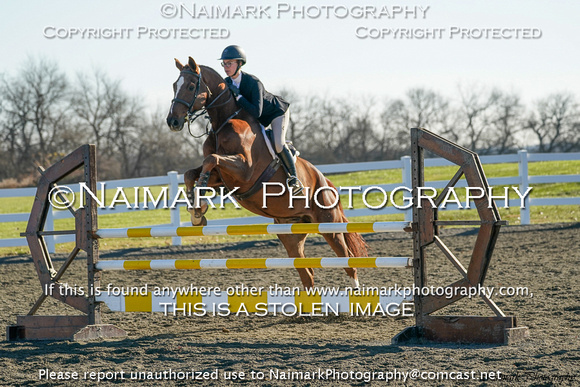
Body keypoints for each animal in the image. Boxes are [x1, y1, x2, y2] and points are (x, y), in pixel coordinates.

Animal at [167, 56, 368, 288]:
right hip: (291, 233)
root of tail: (326, 182)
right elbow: (191, 173)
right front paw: (197, 211)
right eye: (174, 86)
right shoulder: (222, 178)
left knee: (348, 264)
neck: (223, 122)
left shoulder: (244, 171)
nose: (172, 121)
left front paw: (199, 202)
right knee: (307, 273)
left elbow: (211, 160)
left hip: (330, 225)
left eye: (191, 86)